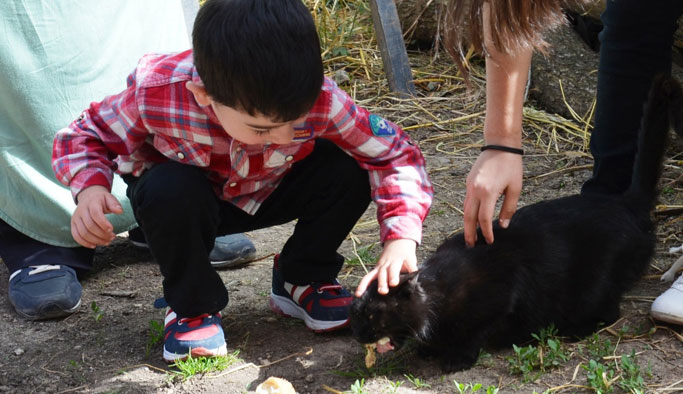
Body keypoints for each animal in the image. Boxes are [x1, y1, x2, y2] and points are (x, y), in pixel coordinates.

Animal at [352, 76, 683, 372]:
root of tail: (625, 202)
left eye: (371, 315)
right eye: (355, 312)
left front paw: (456, 358)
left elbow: (476, 333)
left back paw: (573, 329)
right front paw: (429, 348)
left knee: (609, 311)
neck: (439, 289)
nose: (356, 334)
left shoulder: (500, 299)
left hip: (596, 284)